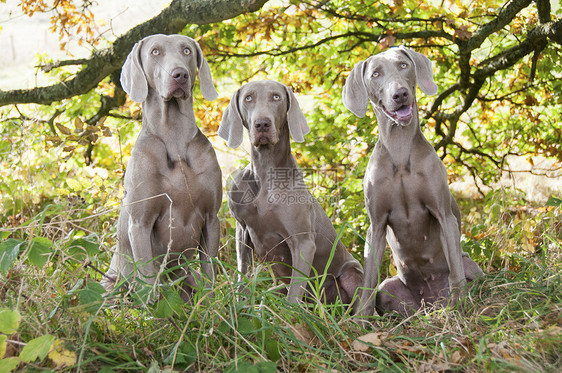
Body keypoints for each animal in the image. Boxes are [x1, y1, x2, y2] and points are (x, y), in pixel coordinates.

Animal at [217, 80, 360, 302]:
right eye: (248, 98)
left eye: (276, 97)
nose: (262, 124)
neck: (265, 173)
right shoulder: (241, 231)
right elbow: (242, 274)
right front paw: (240, 305)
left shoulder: (303, 242)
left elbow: (293, 295)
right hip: (274, 289)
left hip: (353, 272)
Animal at [342, 45, 482, 314]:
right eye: (376, 74)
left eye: (403, 65)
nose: (400, 94)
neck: (399, 150)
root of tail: (430, 303)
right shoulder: (376, 225)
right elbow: (367, 282)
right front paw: (359, 319)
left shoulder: (444, 215)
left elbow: (456, 271)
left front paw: (460, 306)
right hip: (388, 288)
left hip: (472, 266)